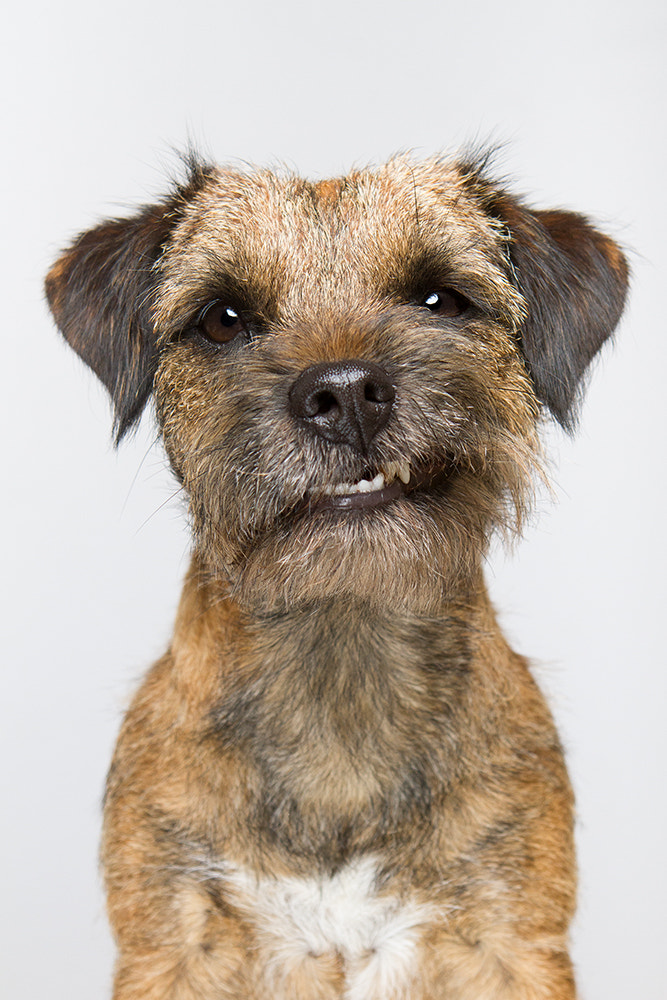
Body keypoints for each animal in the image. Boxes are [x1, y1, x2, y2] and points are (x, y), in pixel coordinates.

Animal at [45, 150, 628, 1000]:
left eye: (439, 299)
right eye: (223, 318)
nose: (345, 392)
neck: (343, 658)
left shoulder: (509, 940)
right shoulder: (174, 944)